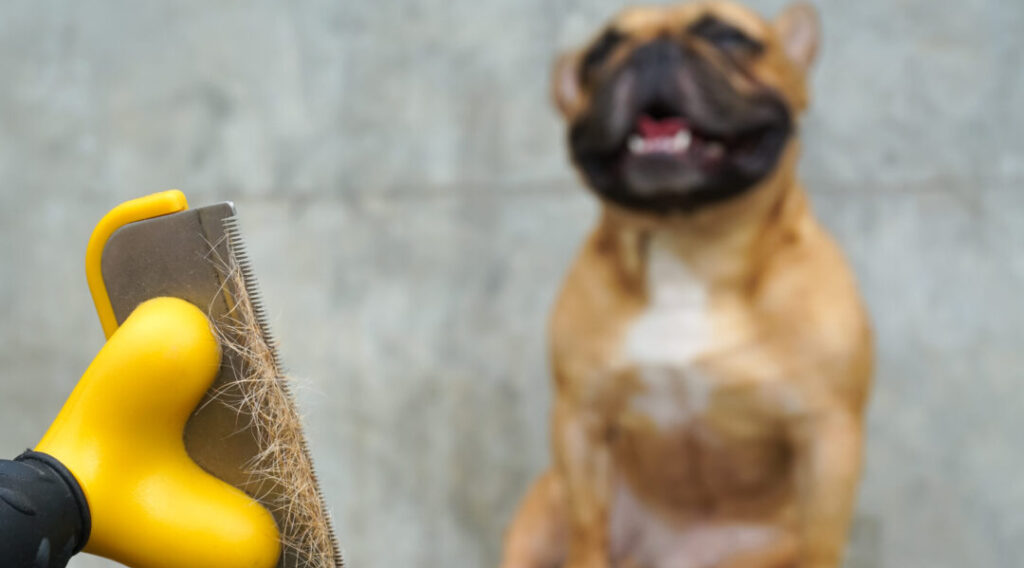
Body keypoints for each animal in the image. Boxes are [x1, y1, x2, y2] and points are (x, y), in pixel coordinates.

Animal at [503, 2, 872, 564]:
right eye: (599, 54)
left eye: (726, 35)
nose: (652, 51)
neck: (689, 247)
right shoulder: (579, 417)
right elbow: (588, 525)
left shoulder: (828, 433)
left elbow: (822, 541)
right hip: (543, 512)